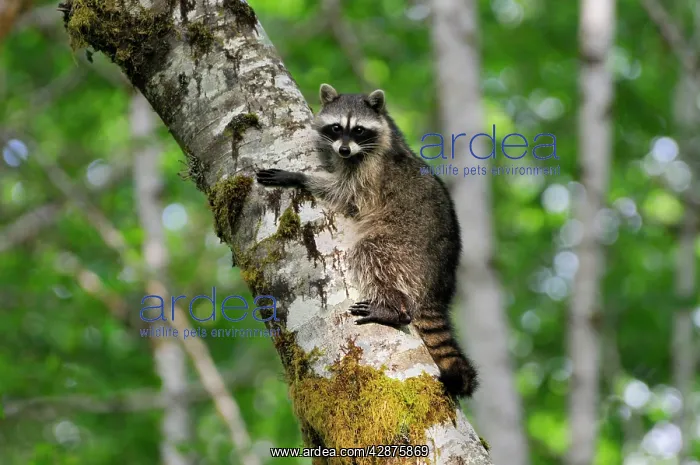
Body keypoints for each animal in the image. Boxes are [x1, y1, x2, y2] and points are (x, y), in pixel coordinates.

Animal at [256, 83, 478, 398]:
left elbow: (345, 192)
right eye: (337, 127)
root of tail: (439, 284)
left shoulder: (369, 171)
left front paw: (298, 177)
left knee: (371, 253)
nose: (343, 149)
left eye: (359, 130)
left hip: (404, 246)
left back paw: (395, 310)